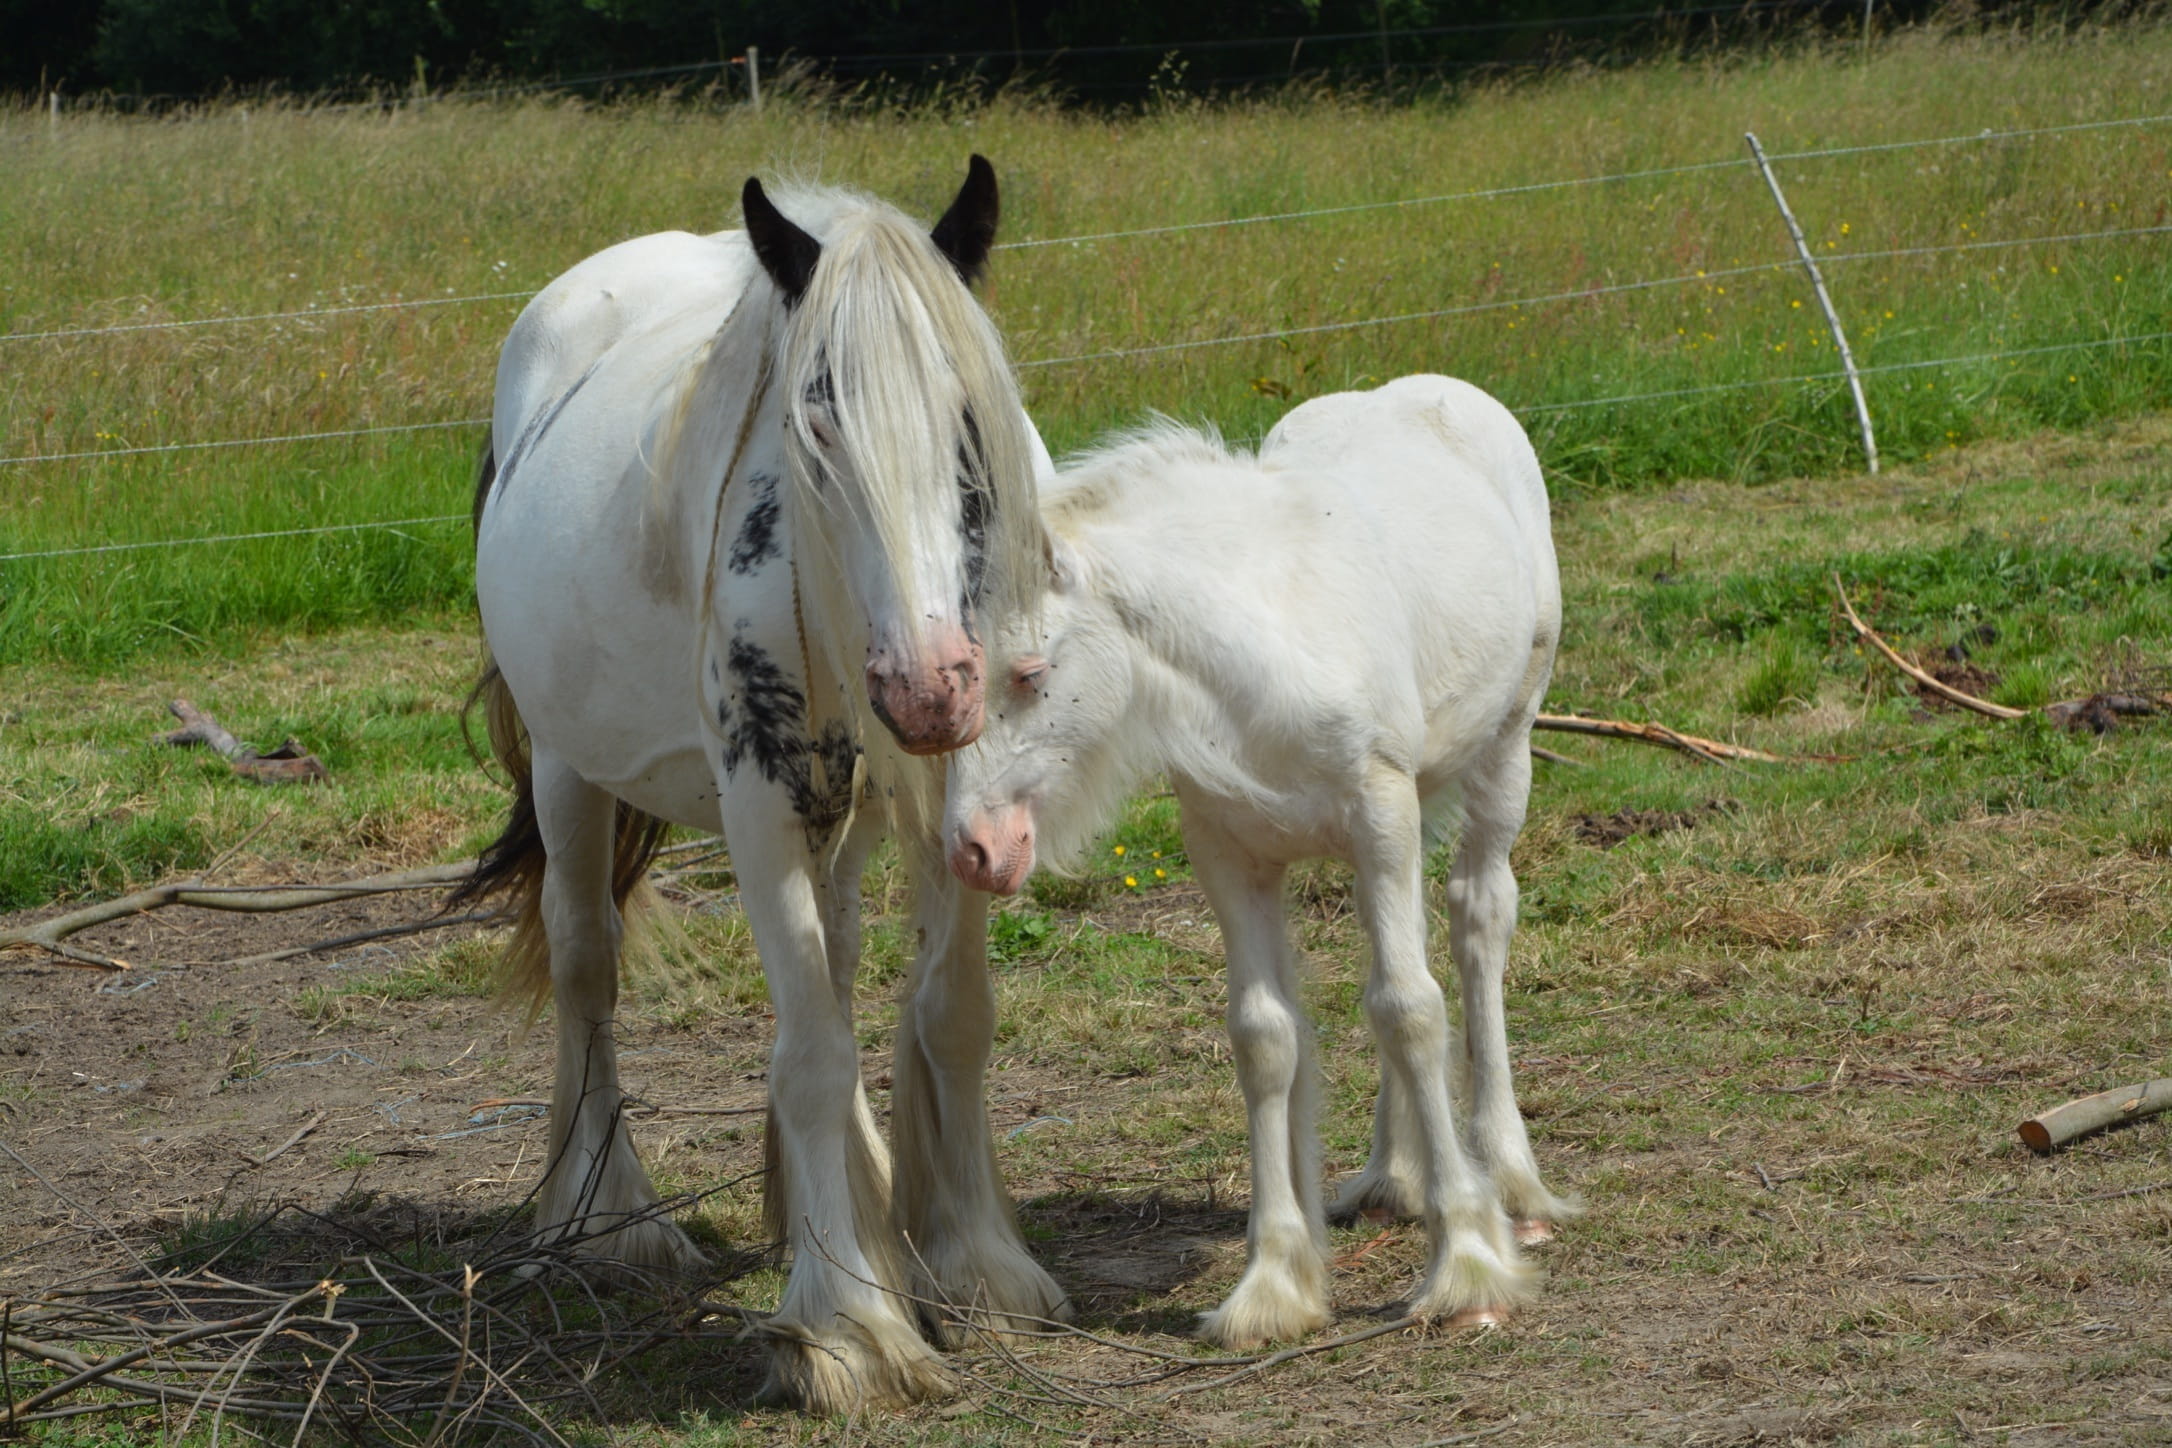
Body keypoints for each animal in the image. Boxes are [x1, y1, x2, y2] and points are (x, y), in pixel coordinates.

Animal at [454, 158, 1071, 1413]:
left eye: (966, 418)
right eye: (815, 416)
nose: (928, 686)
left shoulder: (966, 799)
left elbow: (950, 1014)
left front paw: (972, 1262)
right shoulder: (766, 807)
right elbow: (814, 1050)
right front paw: (846, 1328)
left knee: (827, 969)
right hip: (572, 770)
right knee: (588, 967)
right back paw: (609, 1218)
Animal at [942, 375, 1576, 1347]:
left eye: (1031, 673)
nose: (976, 848)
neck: (1259, 653)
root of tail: (1433, 388)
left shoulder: (1378, 811)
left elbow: (1411, 1010)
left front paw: (1469, 1262)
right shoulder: (1230, 850)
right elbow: (1267, 1034)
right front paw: (1275, 1284)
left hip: (1503, 750)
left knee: (1476, 924)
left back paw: (1509, 1179)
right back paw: (1396, 1175)